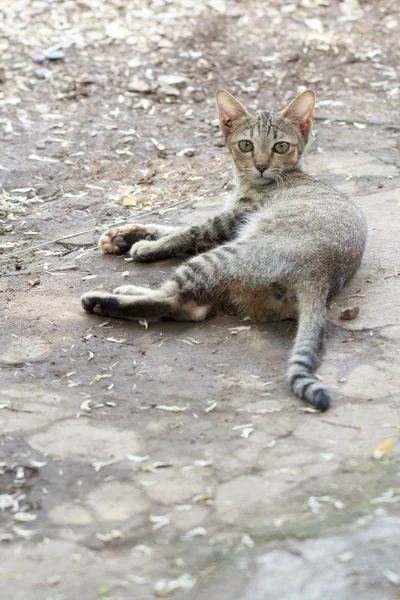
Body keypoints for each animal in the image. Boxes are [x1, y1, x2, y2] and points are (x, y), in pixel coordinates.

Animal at [82, 89, 368, 412]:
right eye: (246, 144)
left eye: (281, 146)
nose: (260, 165)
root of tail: (320, 278)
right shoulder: (228, 217)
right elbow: (170, 226)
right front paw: (124, 235)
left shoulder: (229, 221)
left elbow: (187, 231)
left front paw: (146, 246)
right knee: (191, 306)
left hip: (220, 257)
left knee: (174, 300)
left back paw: (102, 300)